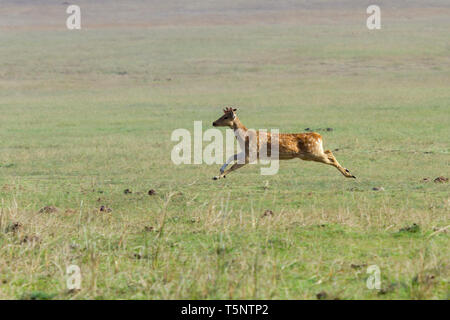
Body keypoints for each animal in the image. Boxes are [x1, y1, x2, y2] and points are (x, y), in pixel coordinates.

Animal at [211, 107, 356, 180]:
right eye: (222, 115)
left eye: (225, 117)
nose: (213, 122)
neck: (244, 137)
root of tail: (319, 136)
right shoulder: (247, 152)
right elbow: (232, 156)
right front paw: (220, 171)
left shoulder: (251, 154)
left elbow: (234, 166)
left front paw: (218, 176)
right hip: (312, 153)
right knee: (329, 152)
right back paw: (349, 171)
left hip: (312, 153)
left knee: (330, 156)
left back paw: (349, 174)